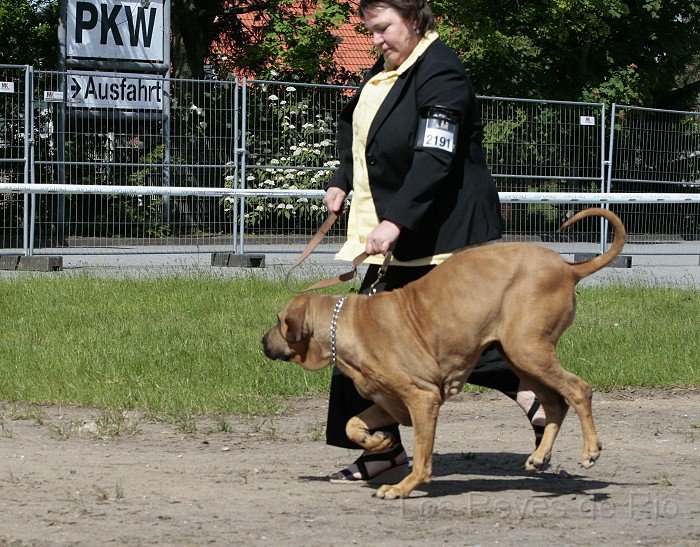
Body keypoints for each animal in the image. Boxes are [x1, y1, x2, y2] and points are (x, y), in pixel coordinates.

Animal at [264, 208, 628, 498]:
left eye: (280, 322)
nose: (262, 342)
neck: (347, 325)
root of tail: (569, 269)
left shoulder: (423, 399)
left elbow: (423, 458)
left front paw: (402, 488)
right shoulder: (391, 402)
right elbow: (353, 424)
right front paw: (378, 444)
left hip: (527, 349)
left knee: (579, 390)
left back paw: (590, 450)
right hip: (520, 356)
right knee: (554, 403)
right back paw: (540, 455)